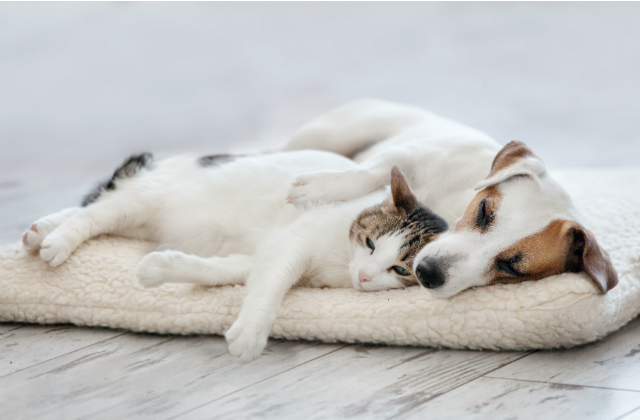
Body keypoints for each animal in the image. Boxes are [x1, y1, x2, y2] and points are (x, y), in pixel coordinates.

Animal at [22, 150, 448, 360]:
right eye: (371, 243)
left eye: (400, 270)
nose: (363, 276)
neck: (340, 266)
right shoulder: (289, 243)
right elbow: (272, 286)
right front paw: (252, 332)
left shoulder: (257, 255)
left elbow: (219, 271)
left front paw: (160, 268)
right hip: (144, 199)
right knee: (93, 214)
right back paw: (56, 239)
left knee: (95, 210)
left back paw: (40, 230)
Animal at [284, 98, 616, 296]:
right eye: (484, 210)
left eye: (512, 268)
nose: (427, 273)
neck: (448, 207)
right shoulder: (413, 156)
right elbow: (369, 171)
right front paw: (316, 187)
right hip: (333, 134)